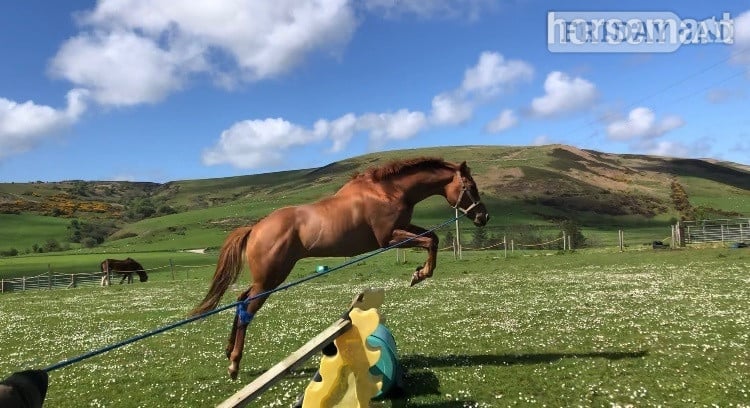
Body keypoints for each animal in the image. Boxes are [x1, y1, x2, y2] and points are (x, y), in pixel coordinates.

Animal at [189, 156, 489, 379]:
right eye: (470, 186)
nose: (483, 217)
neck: (386, 191)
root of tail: (256, 228)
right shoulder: (388, 239)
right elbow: (430, 241)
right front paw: (421, 274)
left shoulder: (402, 229)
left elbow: (433, 238)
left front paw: (418, 273)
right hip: (270, 279)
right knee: (246, 310)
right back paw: (234, 364)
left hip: (267, 278)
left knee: (240, 300)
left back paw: (229, 351)